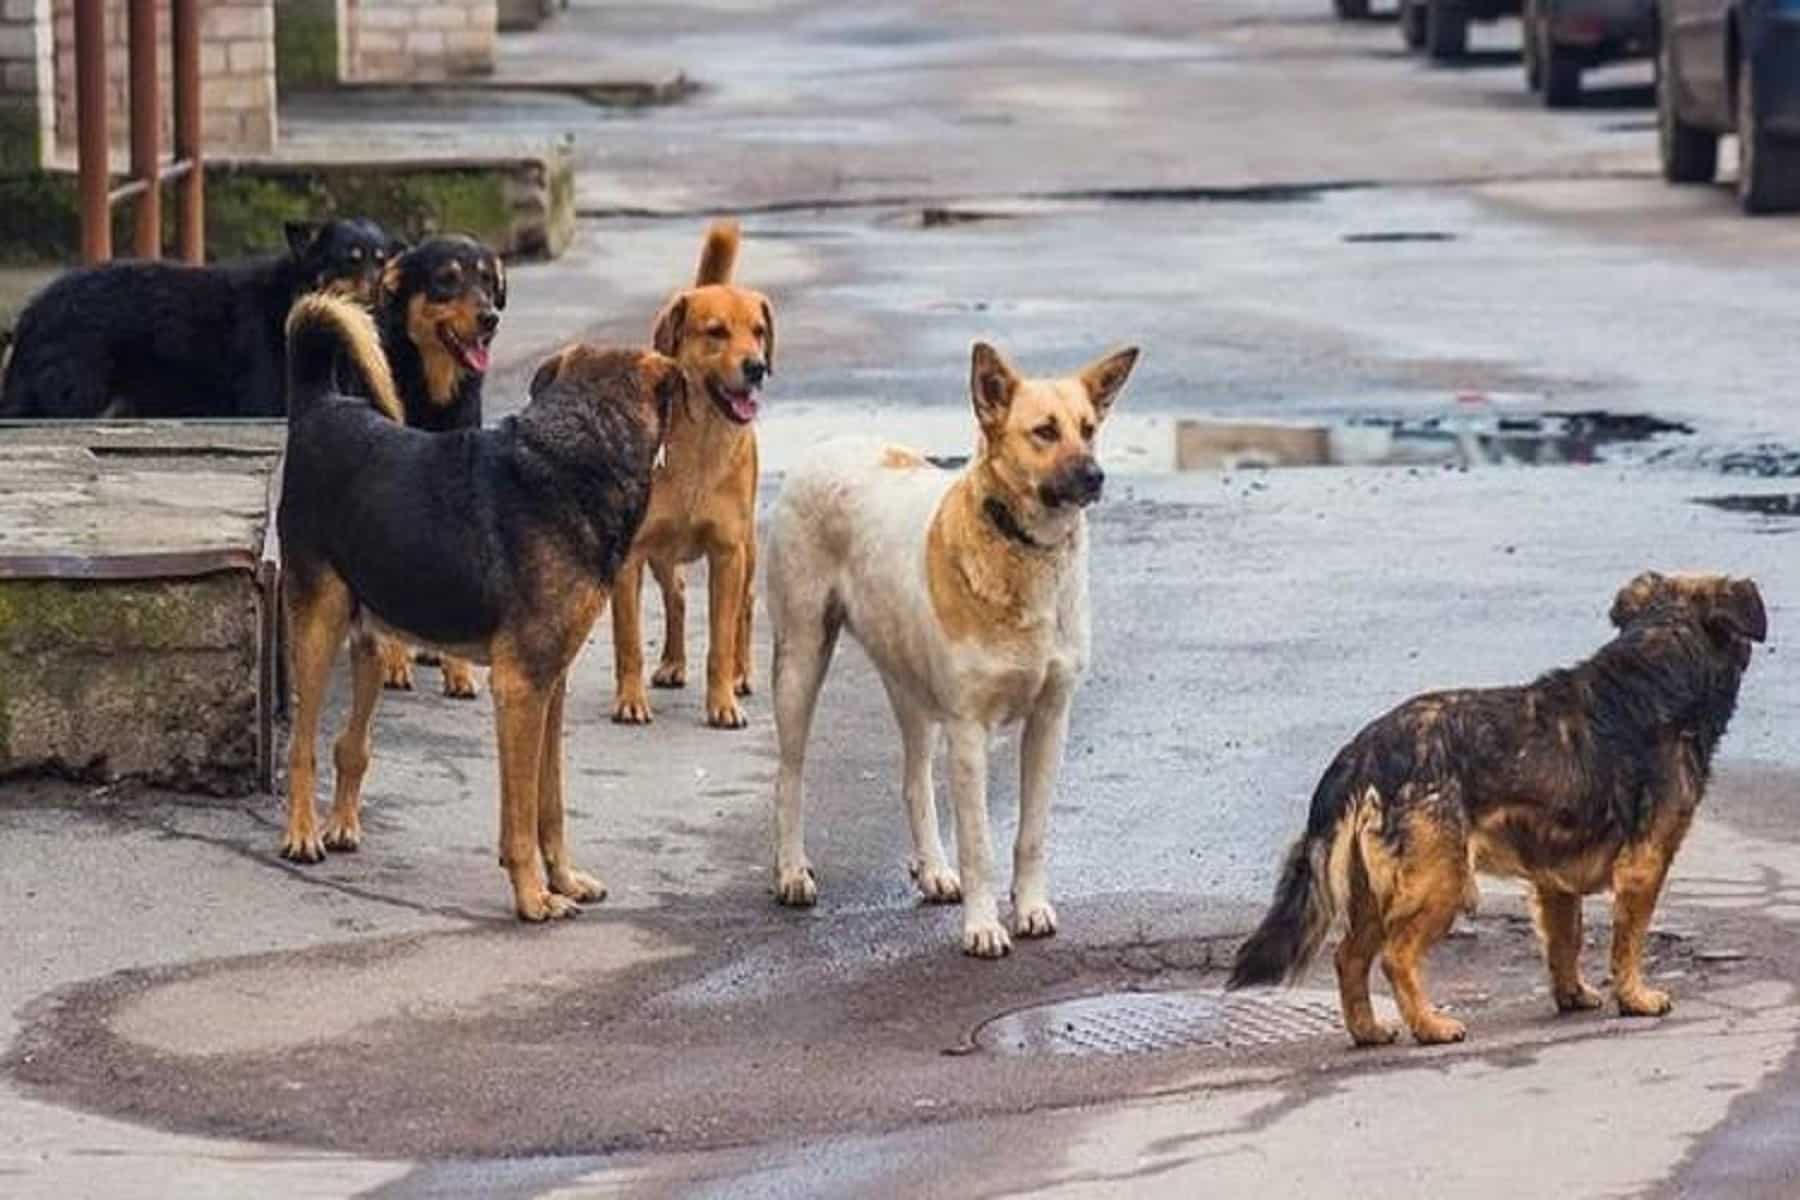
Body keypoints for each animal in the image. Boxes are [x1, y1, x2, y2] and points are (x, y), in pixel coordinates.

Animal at [0, 220, 401, 422]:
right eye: (350, 259)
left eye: (381, 260)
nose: (380, 290)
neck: (293, 294)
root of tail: (33, 312)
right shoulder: (266, 403)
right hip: (82, 395)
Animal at [277, 295, 676, 928]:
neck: (578, 453)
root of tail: (321, 405)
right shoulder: (520, 690)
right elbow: (520, 819)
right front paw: (533, 896)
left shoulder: (550, 687)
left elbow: (549, 805)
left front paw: (564, 879)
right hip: (318, 625)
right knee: (302, 746)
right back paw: (301, 833)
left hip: (370, 639)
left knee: (349, 744)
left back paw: (341, 823)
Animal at [608, 223, 770, 734]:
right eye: (716, 332)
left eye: (759, 332)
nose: (757, 367)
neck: (700, 446)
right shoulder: (630, 556)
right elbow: (628, 641)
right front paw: (630, 699)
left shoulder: (727, 553)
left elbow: (720, 638)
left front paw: (723, 702)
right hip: (661, 554)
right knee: (676, 595)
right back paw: (673, 662)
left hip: (748, 551)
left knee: (746, 607)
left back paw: (742, 673)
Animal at [763, 338, 1137, 957]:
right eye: (1044, 431)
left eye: (1089, 429)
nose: (1096, 476)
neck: (1022, 547)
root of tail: (829, 444)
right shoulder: (968, 730)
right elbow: (980, 843)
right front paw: (982, 927)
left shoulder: (1051, 719)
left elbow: (1032, 833)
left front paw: (1029, 908)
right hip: (800, 660)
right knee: (789, 775)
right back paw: (791, 871)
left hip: (910, 686)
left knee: (914, 779)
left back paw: (933, 869)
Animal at [1231, 572, 1764, 1043]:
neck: (1661, 656)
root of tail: (1362, 752)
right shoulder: (1644, 865)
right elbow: (1628, 941)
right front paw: (1635, 998)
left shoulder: (1554, 882)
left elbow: (1564, 942)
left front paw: (1572, 995)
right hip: (1441, 883)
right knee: (1395, 956)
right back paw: (1430, 1026)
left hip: (1373, 891)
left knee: (1349, 958)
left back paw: (1368, 1031)